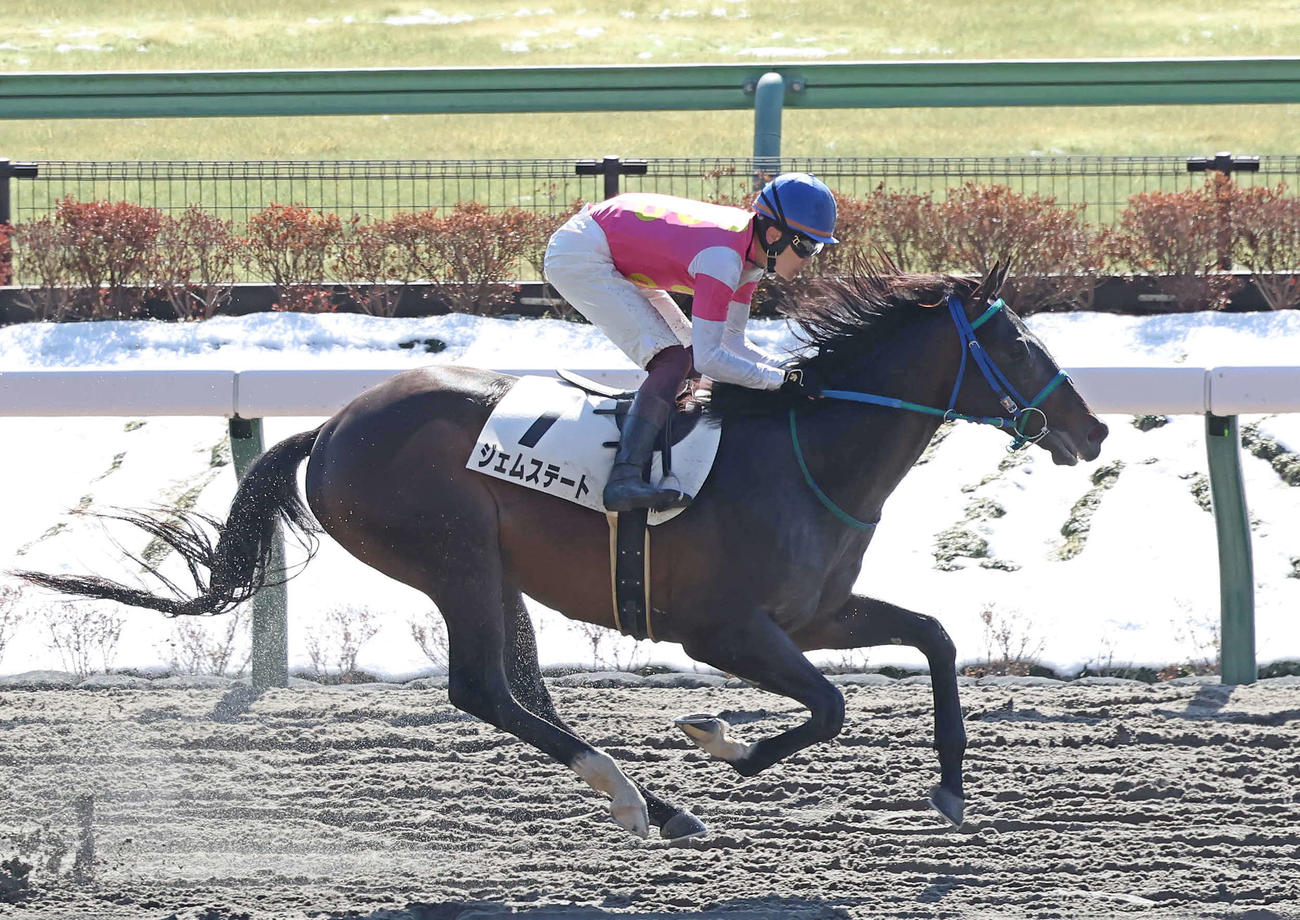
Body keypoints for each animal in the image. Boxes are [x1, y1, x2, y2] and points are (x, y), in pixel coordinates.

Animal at [19, 263, 1108, 841]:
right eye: (1017, 344)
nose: (1091, 429)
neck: (807, 453)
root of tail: (327, 430)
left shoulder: (815, 613)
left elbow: (933, 636)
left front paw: (952, 785)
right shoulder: (723, 629)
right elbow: (831, 706)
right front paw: (719, 739)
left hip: (492, 570)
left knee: (522, 687)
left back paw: (650, 802)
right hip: (451, 555)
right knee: (484, 690)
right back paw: (641, 797)